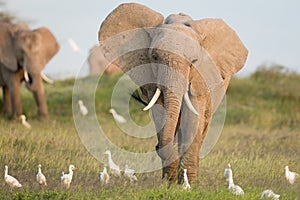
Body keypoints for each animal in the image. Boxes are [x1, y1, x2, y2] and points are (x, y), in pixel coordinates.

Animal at [98, 3, 248, 184]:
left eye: (193, 62)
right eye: (155, 57)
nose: (156, 147)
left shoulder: (200, 79)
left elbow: (192, 118)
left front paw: (189, 183)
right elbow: (160, 113)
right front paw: (168, 182)